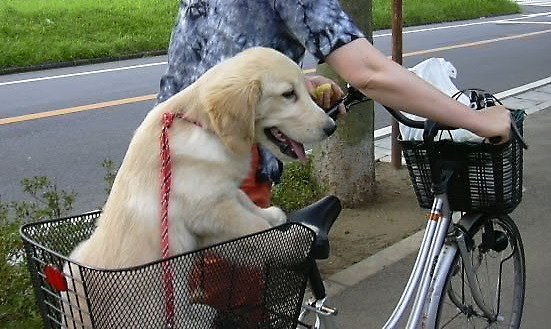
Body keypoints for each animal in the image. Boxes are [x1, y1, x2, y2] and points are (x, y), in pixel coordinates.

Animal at [60, 47, 336, 326]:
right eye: (288, 94)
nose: (331, 127)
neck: (203, 127)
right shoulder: (209, 210)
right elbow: (256, 229)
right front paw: (301, 238)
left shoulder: (217, 199)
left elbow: (244, 201)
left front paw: (272, 214)